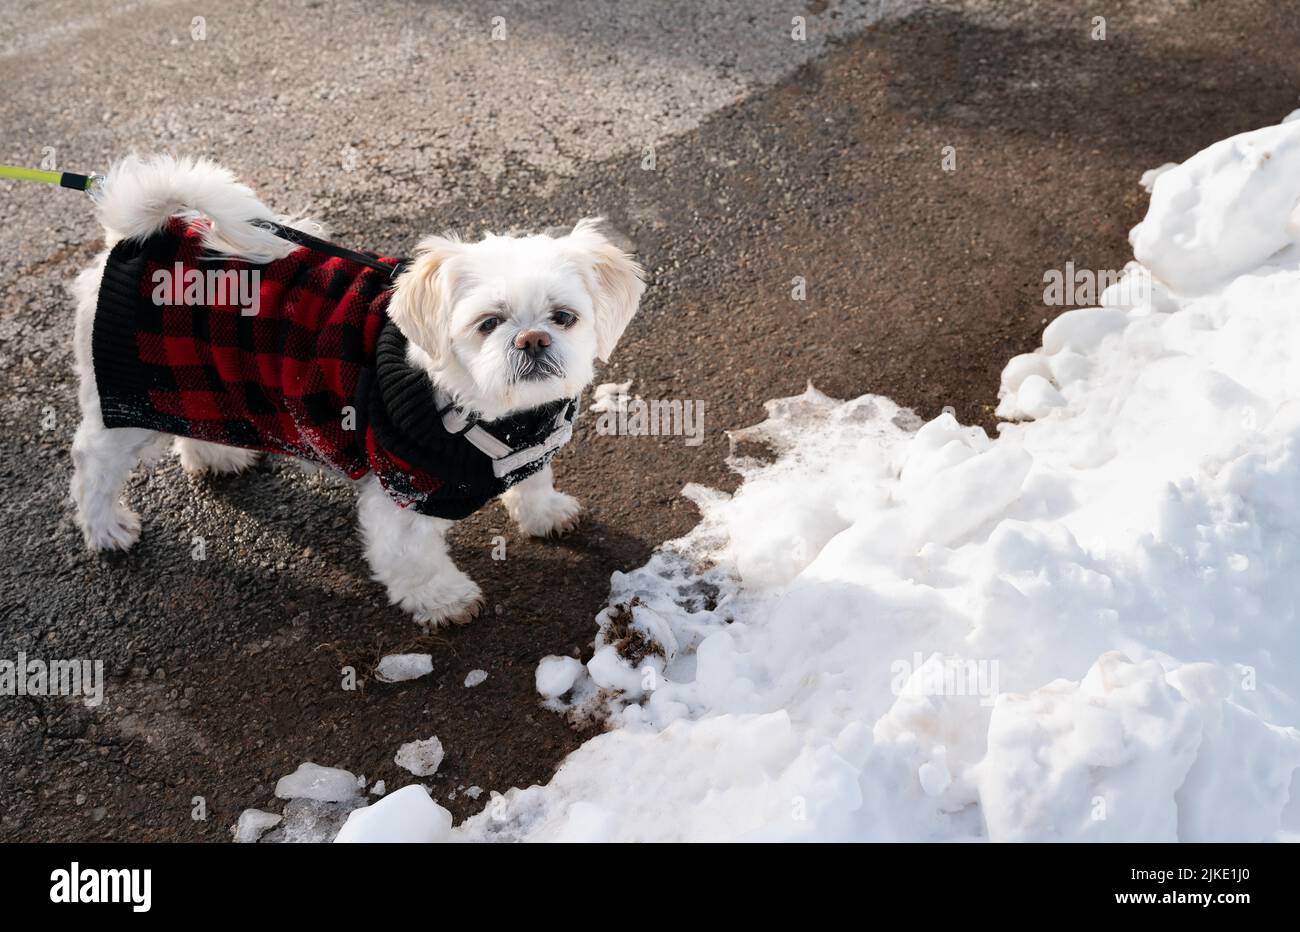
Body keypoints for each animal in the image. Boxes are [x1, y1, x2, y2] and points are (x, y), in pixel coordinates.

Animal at [68, 156, 647, 629]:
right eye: (488, 323)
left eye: (564, 317)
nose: (533, 339)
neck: (488, 412)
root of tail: (143, 235)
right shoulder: (401, 488)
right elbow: (411, 557)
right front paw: (443, 599)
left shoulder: (529, 444)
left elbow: (531, 480)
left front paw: (543, 511)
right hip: (127, 401)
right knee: (94, 461)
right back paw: (106, 527)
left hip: (199, 382)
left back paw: (215, 454)